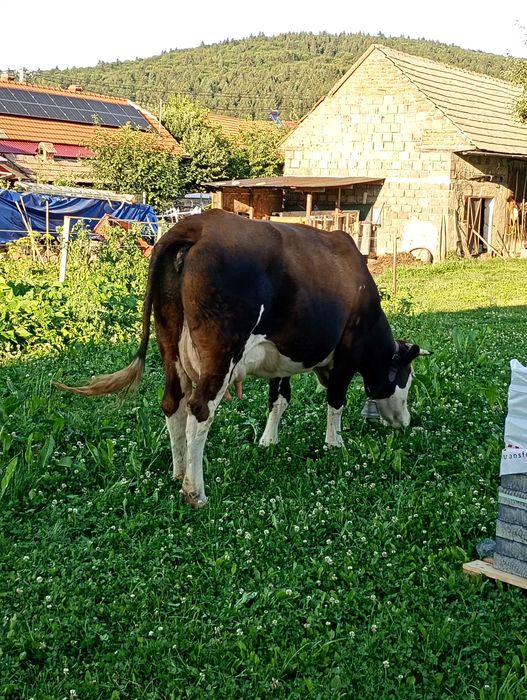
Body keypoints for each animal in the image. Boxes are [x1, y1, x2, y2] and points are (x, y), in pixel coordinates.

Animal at [55, 209, 427, 507]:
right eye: (407, 379)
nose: (406, 422)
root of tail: (197, 225)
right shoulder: (348, 349)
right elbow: (335, 401)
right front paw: (334, 443)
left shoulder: (282, 353)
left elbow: (279, 398)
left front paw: (268, 441)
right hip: (221, 352)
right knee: (199, 410)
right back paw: (195, 491)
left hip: (169, 343)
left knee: (173, 403)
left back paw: (178, 473)